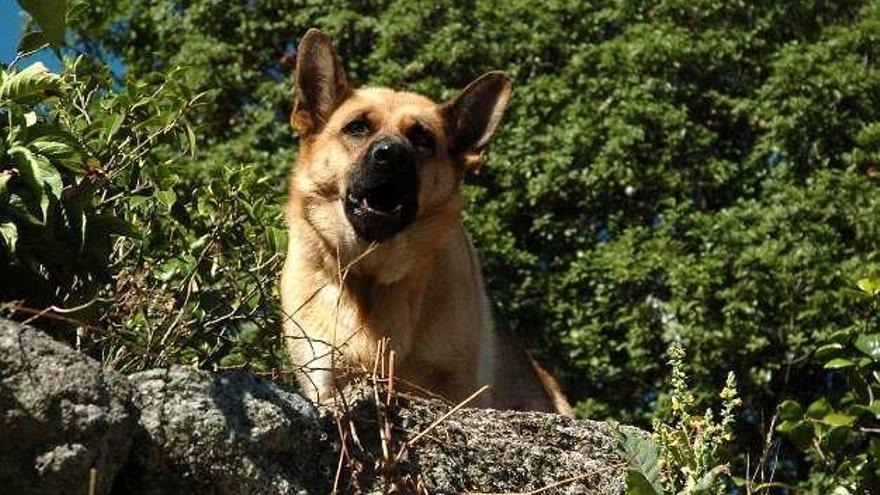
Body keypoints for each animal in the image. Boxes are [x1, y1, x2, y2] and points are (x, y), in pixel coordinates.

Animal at [280, 27, 572, 414]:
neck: (372, 277)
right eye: (356, 128)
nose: (391, 155)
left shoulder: (455, 390)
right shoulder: (329, 382)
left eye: (422, 138)